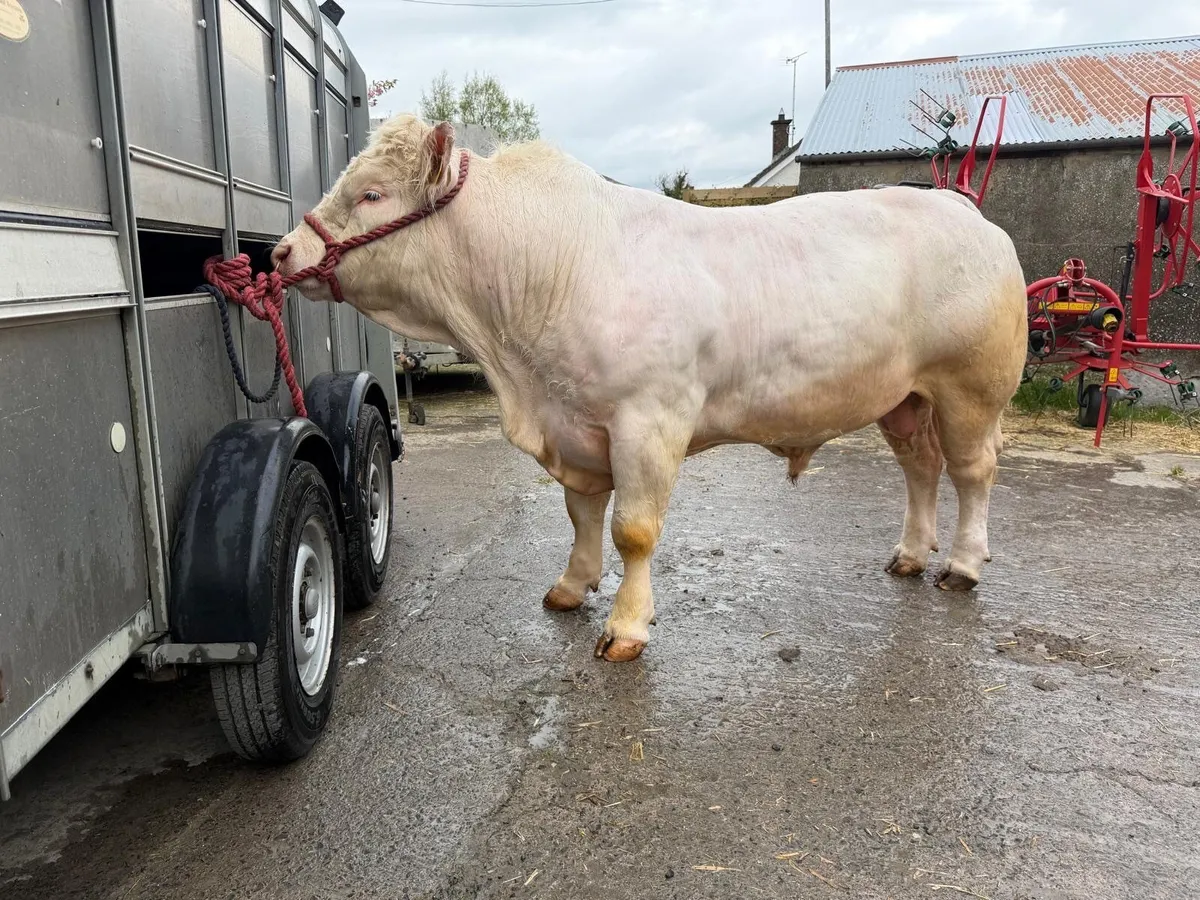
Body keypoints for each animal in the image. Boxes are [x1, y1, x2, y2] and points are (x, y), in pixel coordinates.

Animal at [272, 114, 1028, 663]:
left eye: (372, 193)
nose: (283, 253)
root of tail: (964, 209)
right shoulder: (576, 426)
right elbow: (581, 515)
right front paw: (571, 586)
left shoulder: (648, 419)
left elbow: (632, 530)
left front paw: (626, 627)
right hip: (903, 398)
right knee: (920, 468)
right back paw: (911, 553)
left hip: (970, 388)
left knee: (972, 472)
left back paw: (962, 563)